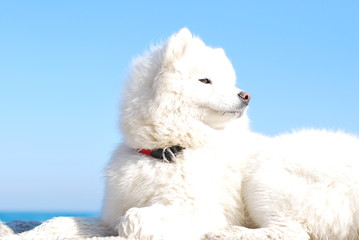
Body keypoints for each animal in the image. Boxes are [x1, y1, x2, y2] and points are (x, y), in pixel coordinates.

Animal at [101, 29, 359, 239]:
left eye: (228, 81)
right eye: (205, 80)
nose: (246, 95)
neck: (168, 149)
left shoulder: (197, 207)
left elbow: (132, 219)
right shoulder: (115, 207)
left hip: (263, 177)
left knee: (292, 233)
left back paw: (228, 233)